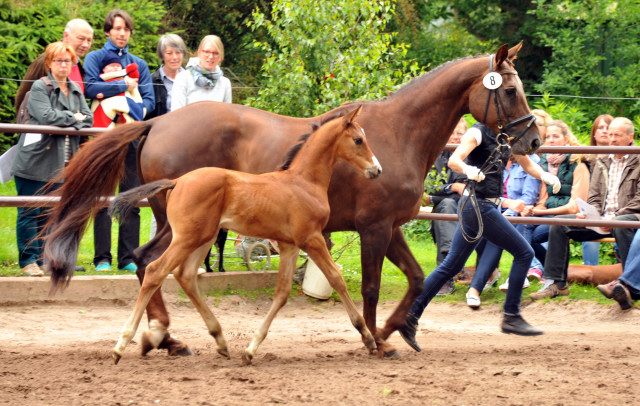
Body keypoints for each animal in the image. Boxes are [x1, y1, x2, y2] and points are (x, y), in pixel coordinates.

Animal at [109, 106, 380, 366]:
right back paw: (122, 345)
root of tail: (177, 181)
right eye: (358, 140)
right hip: (187, 238)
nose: (376, 170)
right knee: (155, 270)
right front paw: (368, 338)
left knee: (185, 275)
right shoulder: (311, 239)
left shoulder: (289, 245)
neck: (303, 181)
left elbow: (282, 292)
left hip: (203, 238)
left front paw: (250, 351)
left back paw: (219, 340)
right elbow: (336, 279)